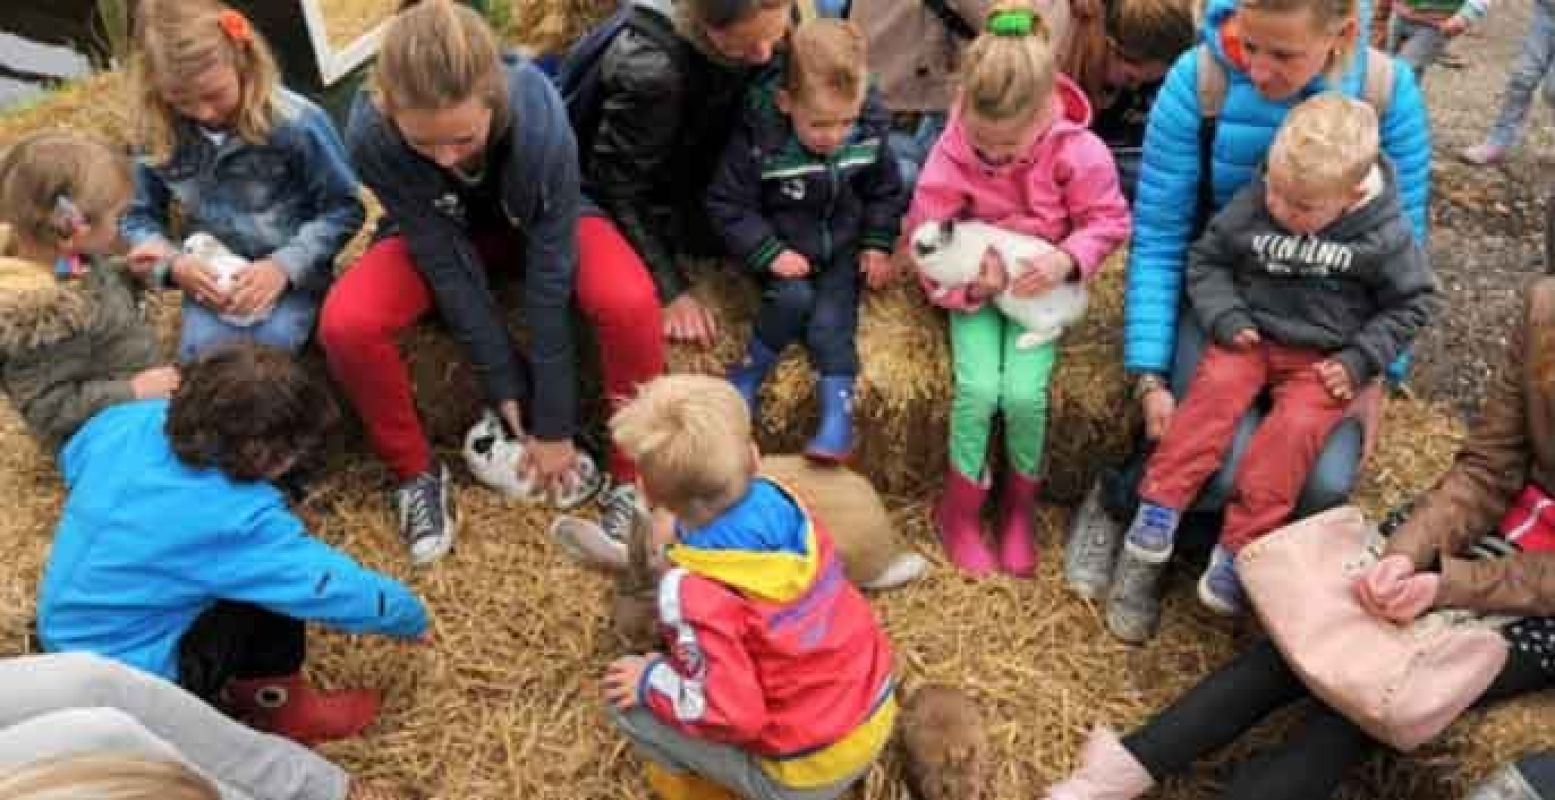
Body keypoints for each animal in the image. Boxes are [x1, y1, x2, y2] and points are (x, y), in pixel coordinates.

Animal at [908, 216, 1088, 347]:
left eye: (925, 248)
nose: (909, 250)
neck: (952, 250)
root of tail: (1075, 305)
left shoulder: (957, 277)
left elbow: (948, 286)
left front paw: (938, 293)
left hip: (1036, 318)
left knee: (1055, 331)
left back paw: (1023, 342)